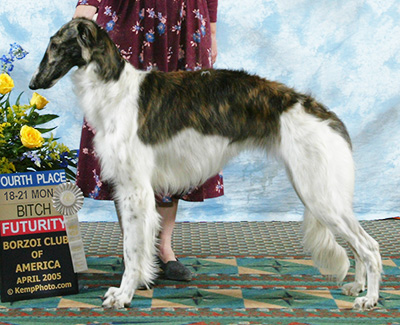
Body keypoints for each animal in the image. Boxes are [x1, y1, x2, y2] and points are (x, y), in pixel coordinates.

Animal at [30, 17, 382, 308]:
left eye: (55, 44)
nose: (33, 83)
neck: (113, 87)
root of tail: (326, 115)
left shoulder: (136, 190)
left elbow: (132, 250)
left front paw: (123, 294)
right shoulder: (128, 189)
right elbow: (136, 248)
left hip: (319, 194)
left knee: (370, 247)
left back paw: (370, 298)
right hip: (320, 193)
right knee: (361, 246)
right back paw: (357, 287)